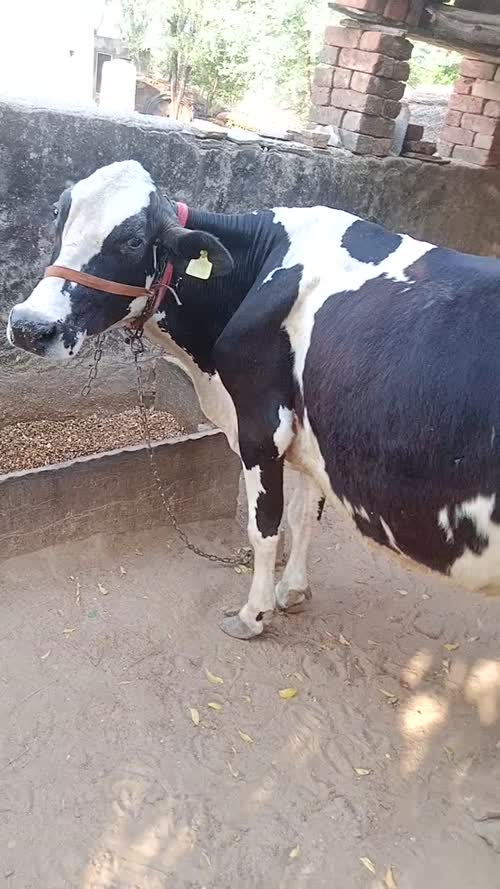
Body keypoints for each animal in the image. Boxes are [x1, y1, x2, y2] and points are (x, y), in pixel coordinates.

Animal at [7, 160, 500, 639]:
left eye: (133, 240)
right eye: (58, 215)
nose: (30, 326)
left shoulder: (263, 427)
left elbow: (263, 527)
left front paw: (253, 615)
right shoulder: (307, 433)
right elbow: (304, 515)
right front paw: (293, 590)